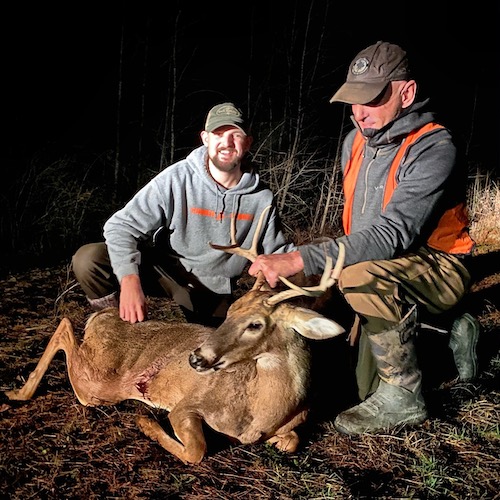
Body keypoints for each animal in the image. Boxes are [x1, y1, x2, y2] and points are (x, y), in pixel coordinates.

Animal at [5, 207, 346, 464]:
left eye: (255, 324)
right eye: (231, 309)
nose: (196, 358)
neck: (259, 413)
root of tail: (100, 318)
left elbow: (292, 440)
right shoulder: (188, 405)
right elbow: (196, 450)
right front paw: (145, 422)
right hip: (97, 385)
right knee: (65, 327)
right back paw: (18, 393)